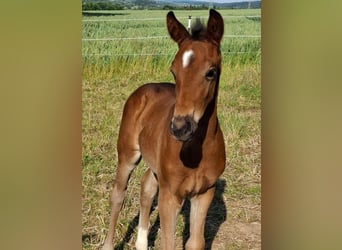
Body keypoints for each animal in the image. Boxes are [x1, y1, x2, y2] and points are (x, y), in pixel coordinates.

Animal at [100, 8, 226, 249]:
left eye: (211, 72)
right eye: (173, 71)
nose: (180, 128)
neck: (195, 151)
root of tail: (146, 88)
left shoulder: (205, 192)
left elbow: (195, 243)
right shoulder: (170, 196)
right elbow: (169, 243)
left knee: (147, 186)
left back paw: (141, 243)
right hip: (127, 154)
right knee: (118, 194)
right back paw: (108, 244)